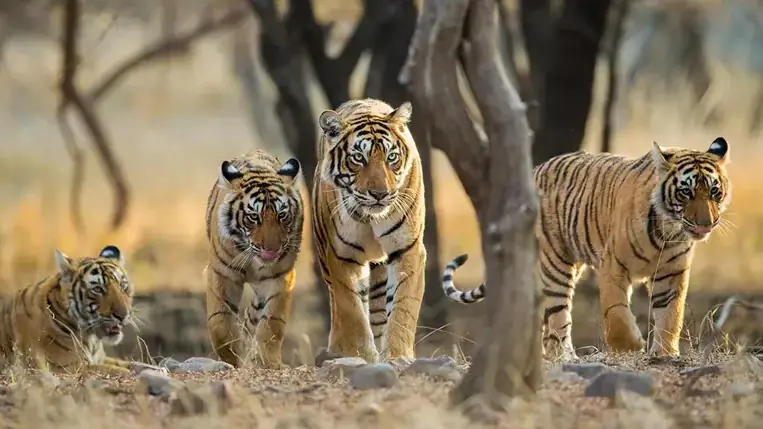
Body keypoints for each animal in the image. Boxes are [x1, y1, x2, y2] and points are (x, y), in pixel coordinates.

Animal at [0, 245, 135, 374]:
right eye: (98, 289)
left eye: (123, 286)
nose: (123, 315)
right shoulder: (68, 368)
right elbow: (121, 371)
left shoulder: (100, 359)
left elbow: (132, 365)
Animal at [205, 150, 304, 369]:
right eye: (253, 217)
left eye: (282, 215)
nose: (272, 249)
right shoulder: (221, 273)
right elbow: (220, 322)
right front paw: (233, 359)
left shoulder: (280, 277)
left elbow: (272, 323)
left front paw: (267, 362)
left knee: (253, 317)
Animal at [442, 137, 731, 361]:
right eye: (686, 192)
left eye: (714, 192)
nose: (706, 223)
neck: (667, 231)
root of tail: (535, 169)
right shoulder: (612, 266)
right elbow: (616, 312)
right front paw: (631, 346)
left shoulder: (671, 274)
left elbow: (671, 314)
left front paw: (665, 353)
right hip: (555, 264)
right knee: (557, 317)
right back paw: (565, 357)